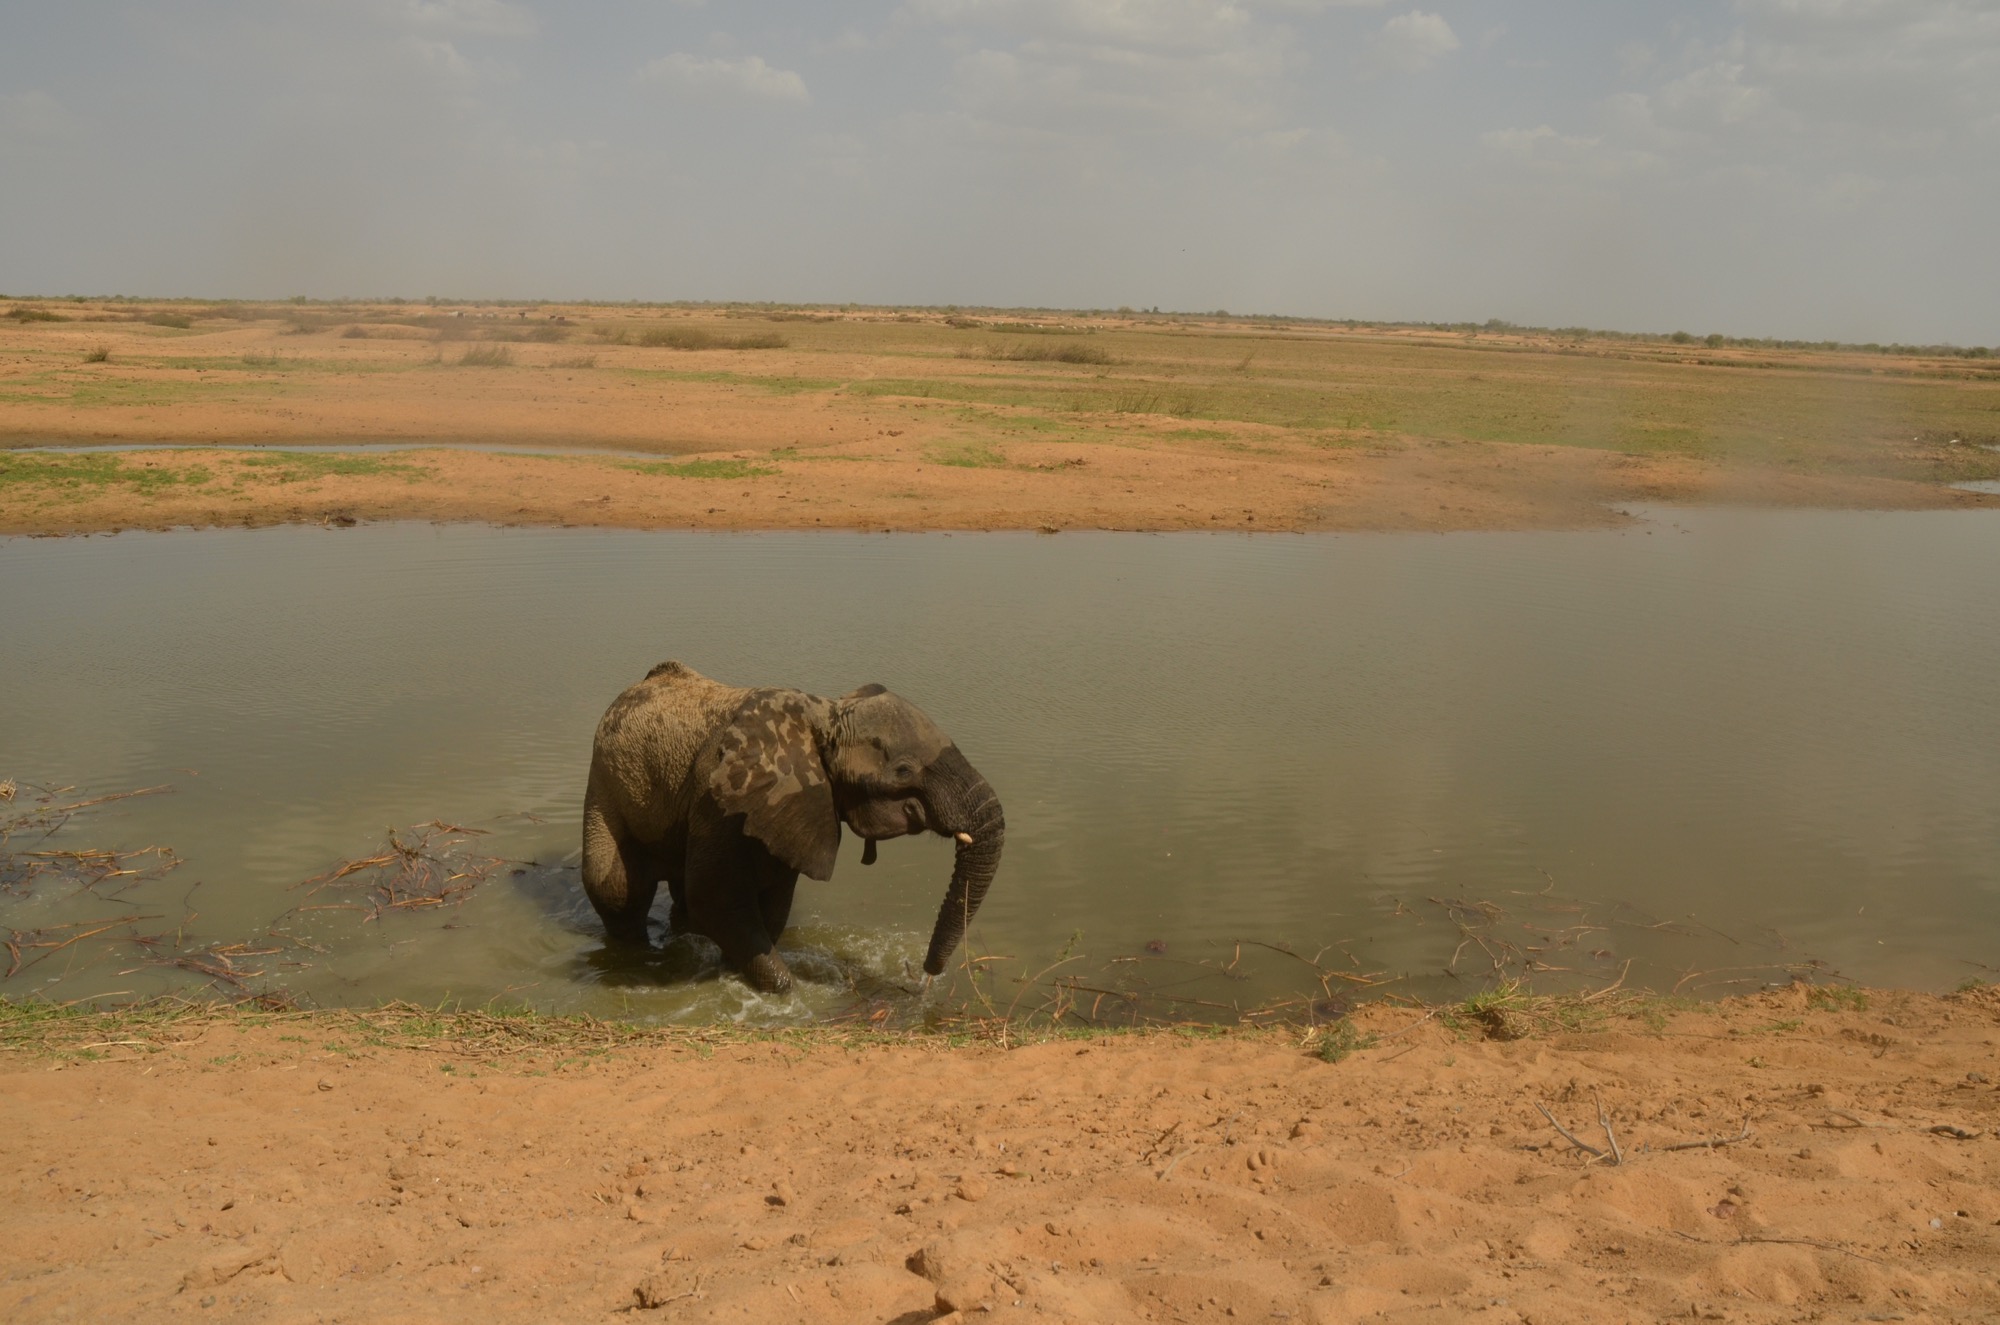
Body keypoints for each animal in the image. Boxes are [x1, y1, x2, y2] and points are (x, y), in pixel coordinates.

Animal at [581, 660, 1006, 994]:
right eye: (903, 771)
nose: (925, 974)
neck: (826, 715)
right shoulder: (716, 800)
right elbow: (716, 900)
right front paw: (785, 991)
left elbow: (774, 902)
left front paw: (734, 971)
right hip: (604, 781)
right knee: (618, 890)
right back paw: (636, 957)